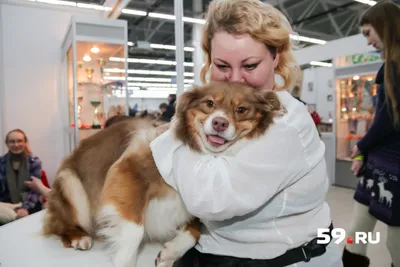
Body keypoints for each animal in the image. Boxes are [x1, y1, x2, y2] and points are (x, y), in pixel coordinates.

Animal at [42, 82, 286, 267]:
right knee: (60, 225)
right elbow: (134, 231)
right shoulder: (127, 171)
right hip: (71, 184)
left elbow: (194, 232)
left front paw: (170, 252)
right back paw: (79, 237)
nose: (219, 123)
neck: (205, 159)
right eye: (209, 104)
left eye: (241, 110)